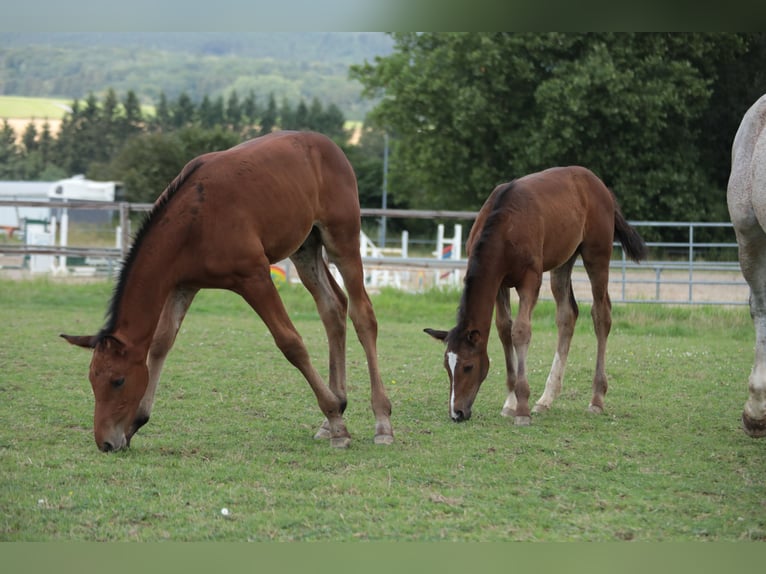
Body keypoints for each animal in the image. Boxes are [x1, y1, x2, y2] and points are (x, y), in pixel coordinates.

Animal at [62, 133, 392, 452]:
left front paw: (338, 424)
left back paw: (381, 422)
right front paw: (136, 423)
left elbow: (291, 343)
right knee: (333, 307)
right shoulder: (183, 285)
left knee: (363, 314)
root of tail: (328, 145)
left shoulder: (255, 277)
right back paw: (332, 413)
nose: (105, 443)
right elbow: (160, 343)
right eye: (92, 380)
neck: (194, 219)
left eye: (117, 381)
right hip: (305, 248)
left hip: (342, 239)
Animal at [426, 166, 648, 428]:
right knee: (567, 315)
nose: (457, 413)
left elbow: (521, 331)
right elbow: (504, 329)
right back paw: (546, 399)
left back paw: (596, 399)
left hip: (597, 256)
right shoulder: (498, 283)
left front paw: (522, 408)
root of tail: (600, 186)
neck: (504, 227)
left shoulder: (530, 280)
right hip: (563, 261)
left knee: (601, 315)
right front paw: (510, 402)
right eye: (446, 367)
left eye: (468, 367)